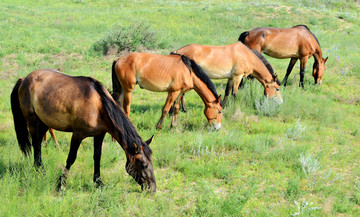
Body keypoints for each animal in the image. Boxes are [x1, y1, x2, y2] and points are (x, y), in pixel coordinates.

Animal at [10, 69, 156, 192]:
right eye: (143, 164)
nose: (152, 188)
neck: (98, 105)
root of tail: (24, 79)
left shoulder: (99, 135)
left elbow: (97, 157)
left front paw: (98, 182)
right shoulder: (78, 134)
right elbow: (71, 158)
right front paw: (61, 184)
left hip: (44, 123)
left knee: (38, 144)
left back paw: (39, 170)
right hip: (32, 122)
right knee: (36, 145)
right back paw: (41, 172)